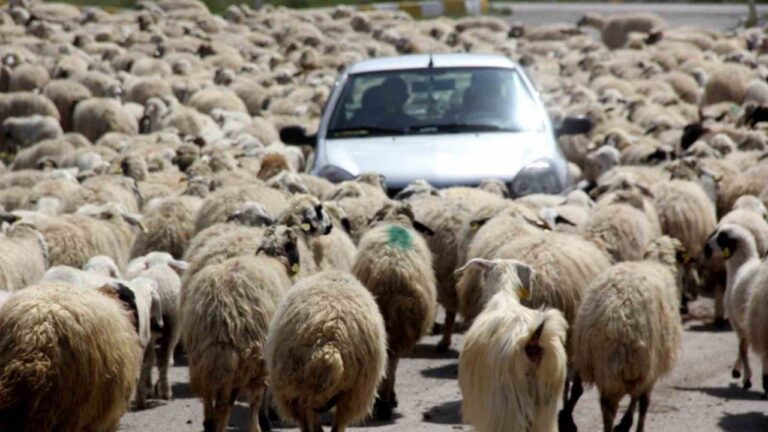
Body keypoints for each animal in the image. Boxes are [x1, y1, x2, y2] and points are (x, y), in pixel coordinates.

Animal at [352, 201, 436, 420]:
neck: (396, 220)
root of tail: (394, 274)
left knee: (389, 362)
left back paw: (383, 403)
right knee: (392, 361)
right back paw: (385, 403)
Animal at [564, 238, 684, 432]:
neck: (657, 263)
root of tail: (614, 313)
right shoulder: (650, 366)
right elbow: (643, 402)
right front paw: (633, 425)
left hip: (594, 359)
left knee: (593, 399)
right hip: (629, 363)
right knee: (616, 404)